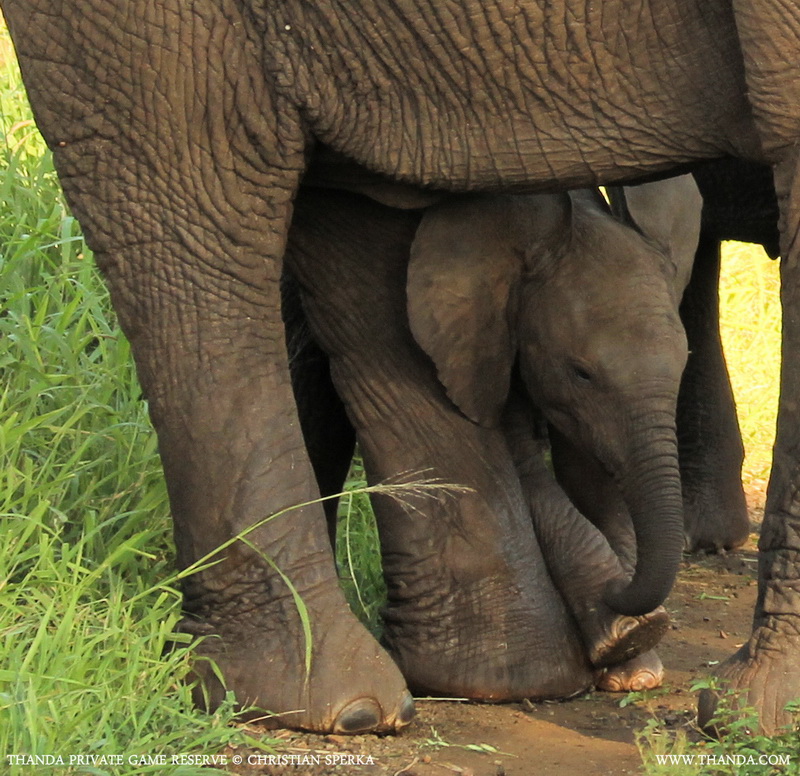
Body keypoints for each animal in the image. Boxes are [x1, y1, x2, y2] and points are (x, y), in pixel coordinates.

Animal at [4, 0, 800, 734]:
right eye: (578, 373)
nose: (633, 600)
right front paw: (641, 643)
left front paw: (639, 653)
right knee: (193, 190)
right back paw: (343, 705)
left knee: (351, 216)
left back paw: (493, 675)